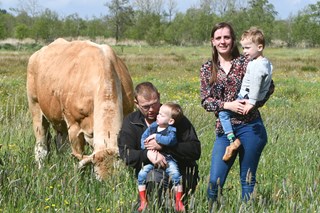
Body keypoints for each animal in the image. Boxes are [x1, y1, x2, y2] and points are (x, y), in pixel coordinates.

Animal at [25, 38, 134, 180]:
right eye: (98, 179)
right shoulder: (74, 127)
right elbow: (77, 157)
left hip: (60, 122)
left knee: (61, 144)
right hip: (36, 108)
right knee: (41, 146)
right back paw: (41, 168)